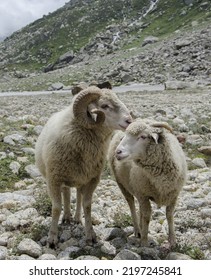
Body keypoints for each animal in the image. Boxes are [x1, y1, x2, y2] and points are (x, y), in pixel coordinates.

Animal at [35, 86, 133, 247]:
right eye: (104, 106)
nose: (129, 121)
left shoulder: (93, 179)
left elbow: (87, 205)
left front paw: (90, 235)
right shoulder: (53, 180)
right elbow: (56, 207)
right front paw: (52, 238)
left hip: (80, 178)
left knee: (77, 195)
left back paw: (75, 218)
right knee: (66, 192)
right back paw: (66, 217)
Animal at [108, 118, 187, 247]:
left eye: (143, 136)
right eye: (125, 136)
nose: (118, 152)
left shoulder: (174, 194)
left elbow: (169, 215)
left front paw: (173, 241)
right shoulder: (143, 194)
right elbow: (147, 216)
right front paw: (144, 243)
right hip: (122, 184)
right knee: (131, 204)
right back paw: (138, 230)